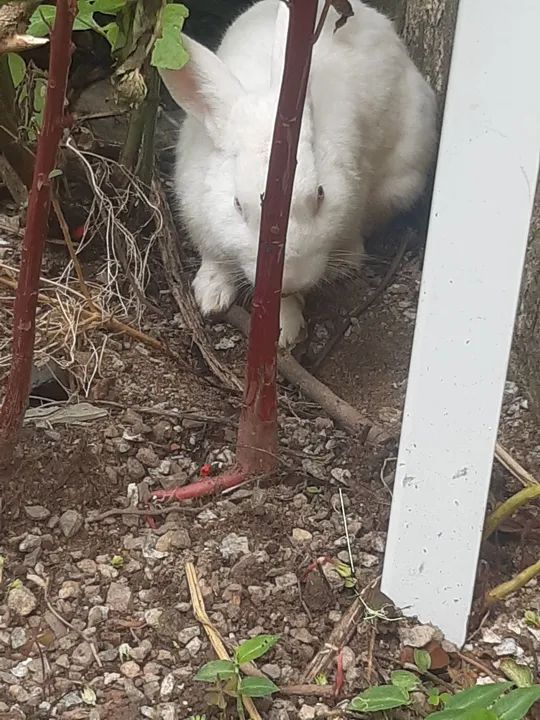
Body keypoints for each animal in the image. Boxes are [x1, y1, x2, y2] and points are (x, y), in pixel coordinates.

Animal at [159, 0, 437, 349]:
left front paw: (285, 328)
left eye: (320, 194)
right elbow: (215, 259)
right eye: (237, 205)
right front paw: (210, 295)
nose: (291, 278)